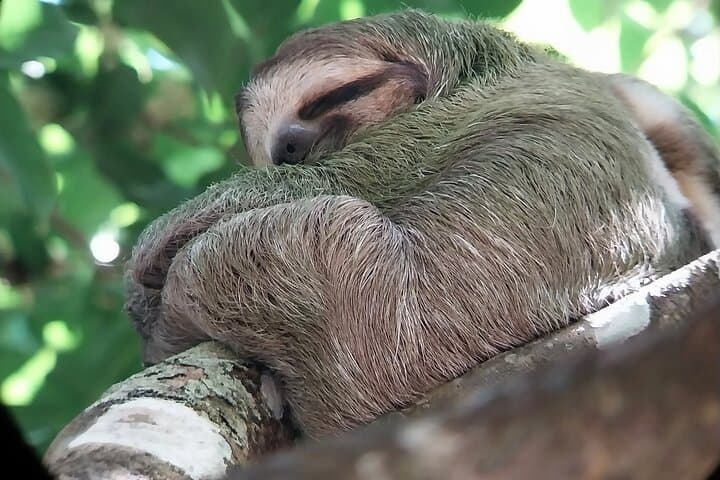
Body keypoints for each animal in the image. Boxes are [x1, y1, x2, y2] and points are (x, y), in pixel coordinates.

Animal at [125, 10, 715, 438]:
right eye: (276, 147)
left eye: (334, 96)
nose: (292, 145)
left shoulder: (470, 98)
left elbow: (361, 169)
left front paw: (156, 259)